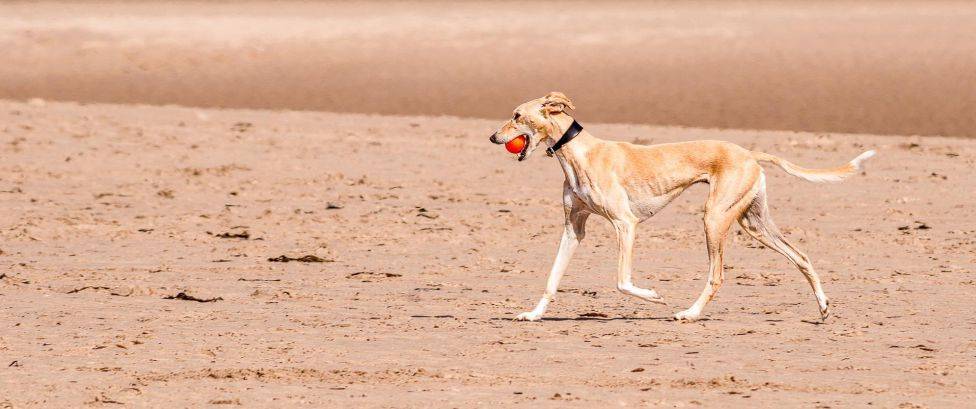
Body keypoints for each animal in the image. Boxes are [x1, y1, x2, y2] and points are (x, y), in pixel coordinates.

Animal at [488, 91, 876, 320]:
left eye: (517, 115)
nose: (493, 137)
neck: (578, 153)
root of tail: (749, 153)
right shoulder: (573, 229)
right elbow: (552, 278)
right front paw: (533, 314)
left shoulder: (625, 224)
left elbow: (623, 281)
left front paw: (655, 297)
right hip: (754, 223)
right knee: (802, 256)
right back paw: (823, 307)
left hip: (715, 219)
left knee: (717, 275)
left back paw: (689, 313)